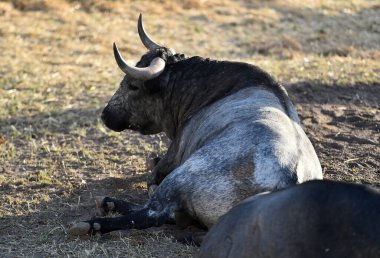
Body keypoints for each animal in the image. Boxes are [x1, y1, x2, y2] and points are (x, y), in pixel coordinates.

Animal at [68, 13, 320, 236]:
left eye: (133, 85)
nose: (105, 115)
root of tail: (287, 181)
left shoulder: (175, 154)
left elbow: (152, 178)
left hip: (181, 176)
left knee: (153, 212)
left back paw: (98, 217)